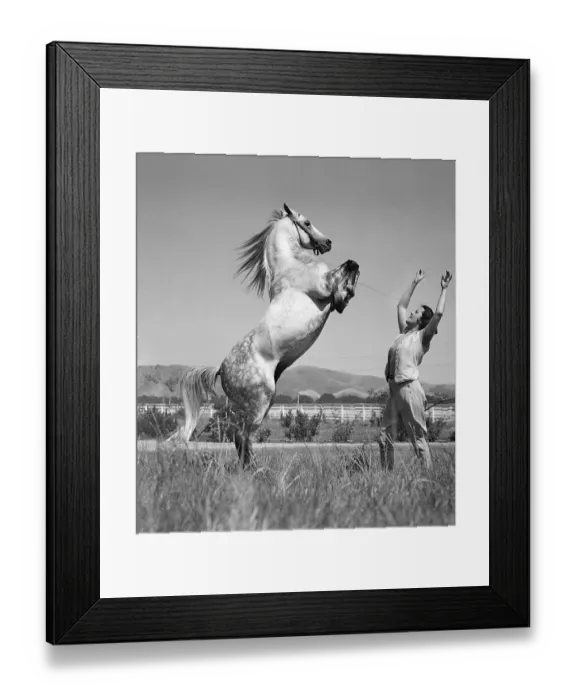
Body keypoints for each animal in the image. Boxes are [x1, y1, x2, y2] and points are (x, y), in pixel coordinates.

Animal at [168, 203, 360, 467]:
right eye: (307, 223)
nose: (328, 242)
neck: (291, 266)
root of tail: (221, 369)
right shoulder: (324, 287)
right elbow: (342, 281)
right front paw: (350, 279)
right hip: (260, 401)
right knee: (242, 434)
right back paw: (254, 469)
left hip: (261, 403)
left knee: (241, 436)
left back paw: (252, 468)